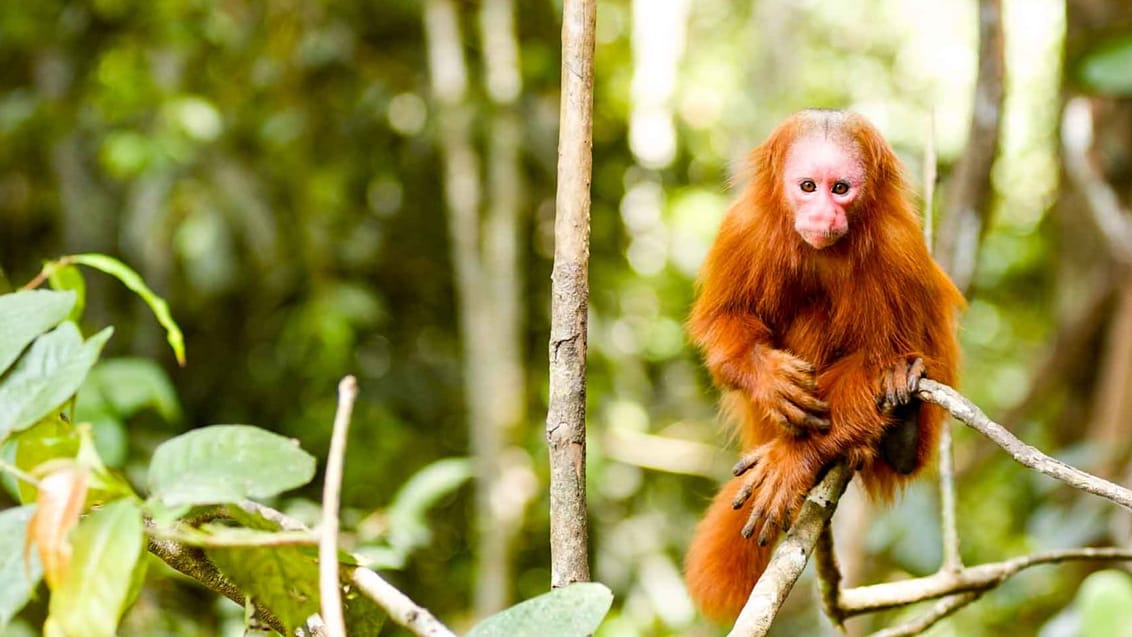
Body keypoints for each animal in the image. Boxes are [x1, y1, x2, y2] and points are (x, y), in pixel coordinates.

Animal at [679, 109, 964, 624]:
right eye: (808, 187)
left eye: (841, 189)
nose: (823, 214)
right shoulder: (743, 229)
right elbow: (722, 323)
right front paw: (769, 378)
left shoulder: (897, 247)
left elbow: (876, 361)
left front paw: (794, 460)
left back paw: (899, 435)